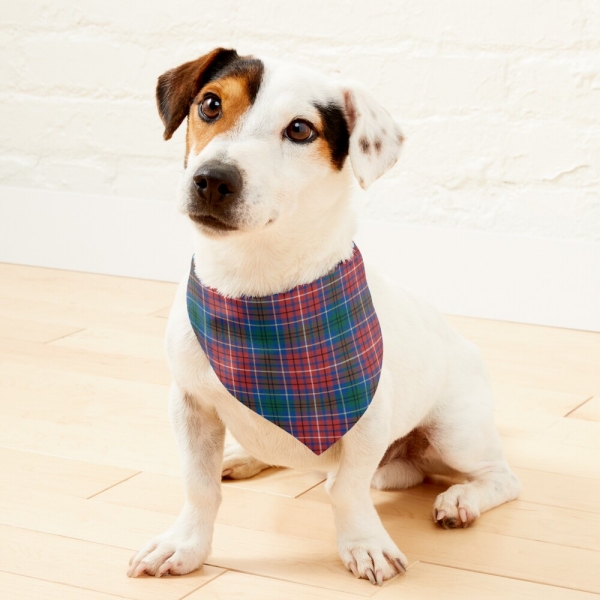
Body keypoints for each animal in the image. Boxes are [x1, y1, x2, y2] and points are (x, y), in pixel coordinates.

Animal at [127, 48, 520, 584]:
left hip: (456, 432)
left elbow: (347, 490)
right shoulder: (190, 405)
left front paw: (365, 544)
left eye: (299, 130)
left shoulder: (367, 419)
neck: (257, 289)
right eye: (210, 104)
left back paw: (461, 499)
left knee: (500, 477)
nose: (212, 179)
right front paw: (185, 545)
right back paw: (244, 456)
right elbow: (199, 485)